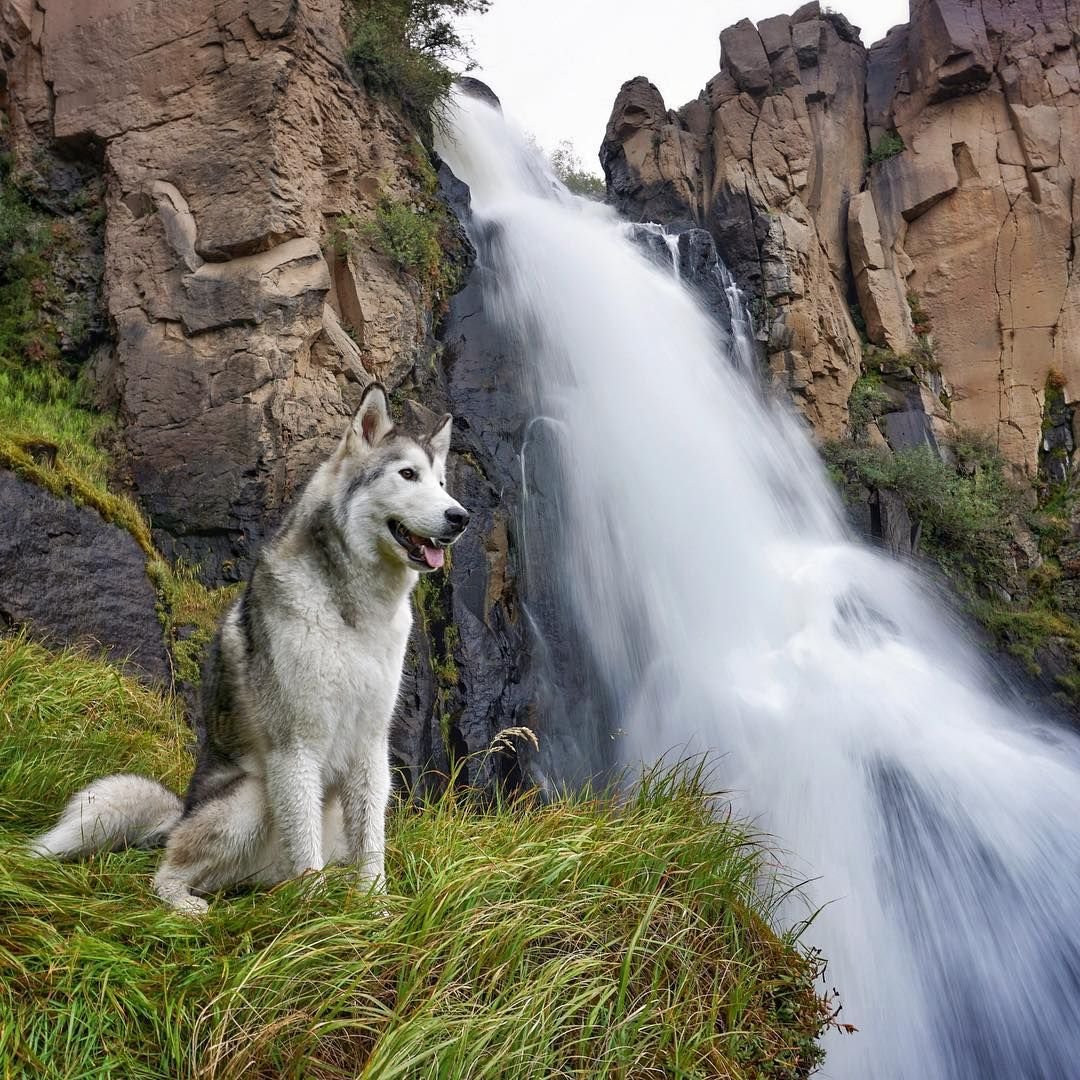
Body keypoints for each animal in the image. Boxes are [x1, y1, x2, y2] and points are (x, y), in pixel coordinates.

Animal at [28, 386, 468, 911]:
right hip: (252, 797)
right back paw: (192, 905)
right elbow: (307, 852)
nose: (460, 517)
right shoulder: (294, 748)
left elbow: (372, 846)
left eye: (441, 482)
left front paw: (375, 908)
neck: (353, 612)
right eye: (407, 474)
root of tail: (181, 812)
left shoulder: (371, 748)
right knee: (166, 874)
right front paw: (316, 913)